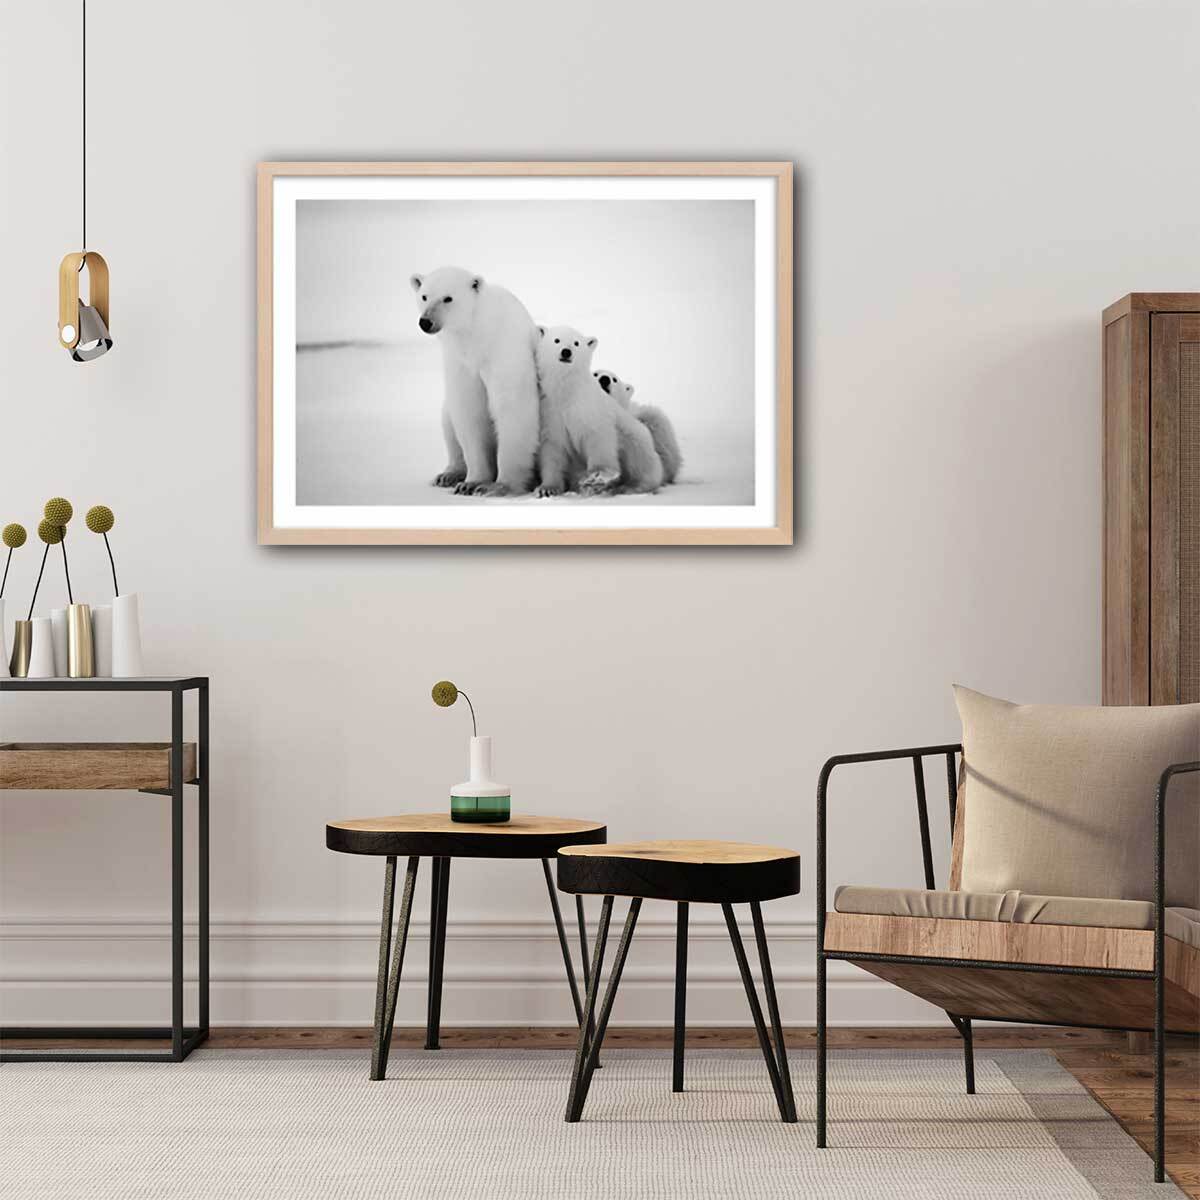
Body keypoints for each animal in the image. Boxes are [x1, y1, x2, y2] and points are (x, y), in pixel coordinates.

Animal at [410, 267, 539, 496]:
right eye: (424, 296)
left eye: (448, 298)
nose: (426, 321)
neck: (476, 336)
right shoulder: (460, 363)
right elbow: (469, 412)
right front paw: (471, 483)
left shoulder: (504, 352)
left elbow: (512, 410)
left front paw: (499, 486)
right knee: (447, 419)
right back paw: (448, 475)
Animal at [535, 327, 663, 497]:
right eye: (556, 340)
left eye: (576, 343)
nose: (566, 352)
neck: (568, 392)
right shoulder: (551, 412)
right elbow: (553, 450)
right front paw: (547, 489)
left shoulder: (590, 408)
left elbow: (598, 436)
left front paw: (596, 474)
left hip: (636, 438)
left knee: (639, 458)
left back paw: (629, 486)